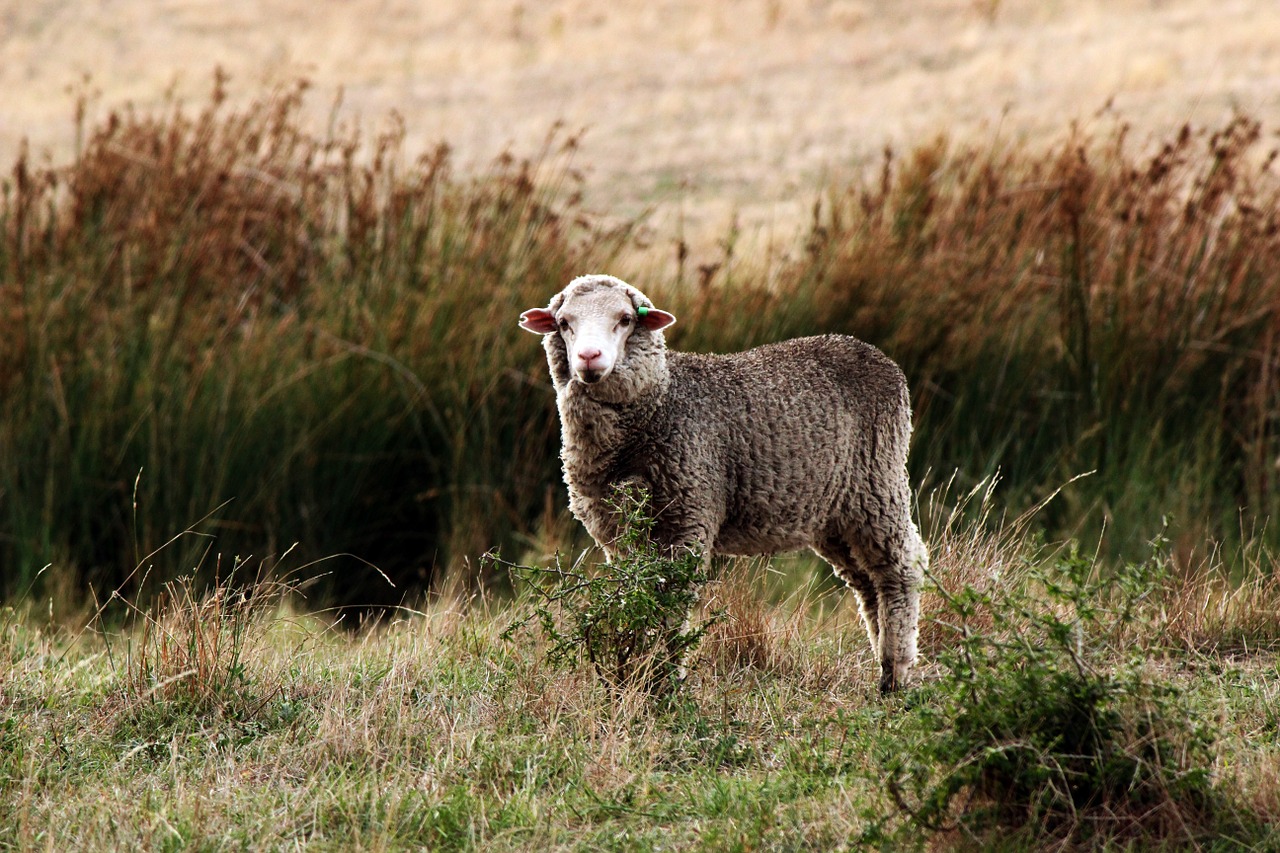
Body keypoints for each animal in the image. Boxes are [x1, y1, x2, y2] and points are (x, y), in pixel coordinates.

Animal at [519, 272, 931, 691]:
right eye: (564, 323)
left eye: (625, 319)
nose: (589, 358)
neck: (661, 400)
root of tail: (873, 353)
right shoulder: (617, 534)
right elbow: (635, 594)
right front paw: (636, 669)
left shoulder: (686, 517)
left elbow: (670, 602)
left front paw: (664, 681)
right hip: (835, 514)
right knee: (866, 581)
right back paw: (883, 664)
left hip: (877, 486)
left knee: (901, 569)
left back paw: (897, 670)